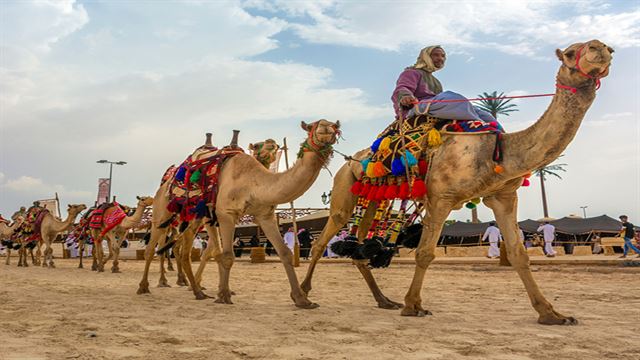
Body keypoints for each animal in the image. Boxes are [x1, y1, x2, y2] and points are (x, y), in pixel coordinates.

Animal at [138, 119, 342, 308]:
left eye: (335, 125)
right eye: (312, 126)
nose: (326, 129)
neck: (253, 183)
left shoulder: (264, 215)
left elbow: (284, 253)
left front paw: (302, 299)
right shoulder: (226, 213)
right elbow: (226, 255)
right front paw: (223, 296)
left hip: (194, 219)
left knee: (184, 251)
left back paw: (197, 291)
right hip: (162, 213)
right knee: (153, 249)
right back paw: (145, 286)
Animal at [302, 40, 616, 324]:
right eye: (571, 52)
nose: (602, 48)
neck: (497, 152)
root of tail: (351, 160)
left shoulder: (502, 196)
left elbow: (519, 254)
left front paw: (551, 314)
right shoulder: (440, 198)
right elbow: (425, 253)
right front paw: (413, 306)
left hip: (371, 199)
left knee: (359, 247)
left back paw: (384, 300)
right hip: (344, 190)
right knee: (323, 240)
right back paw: (303, 296)